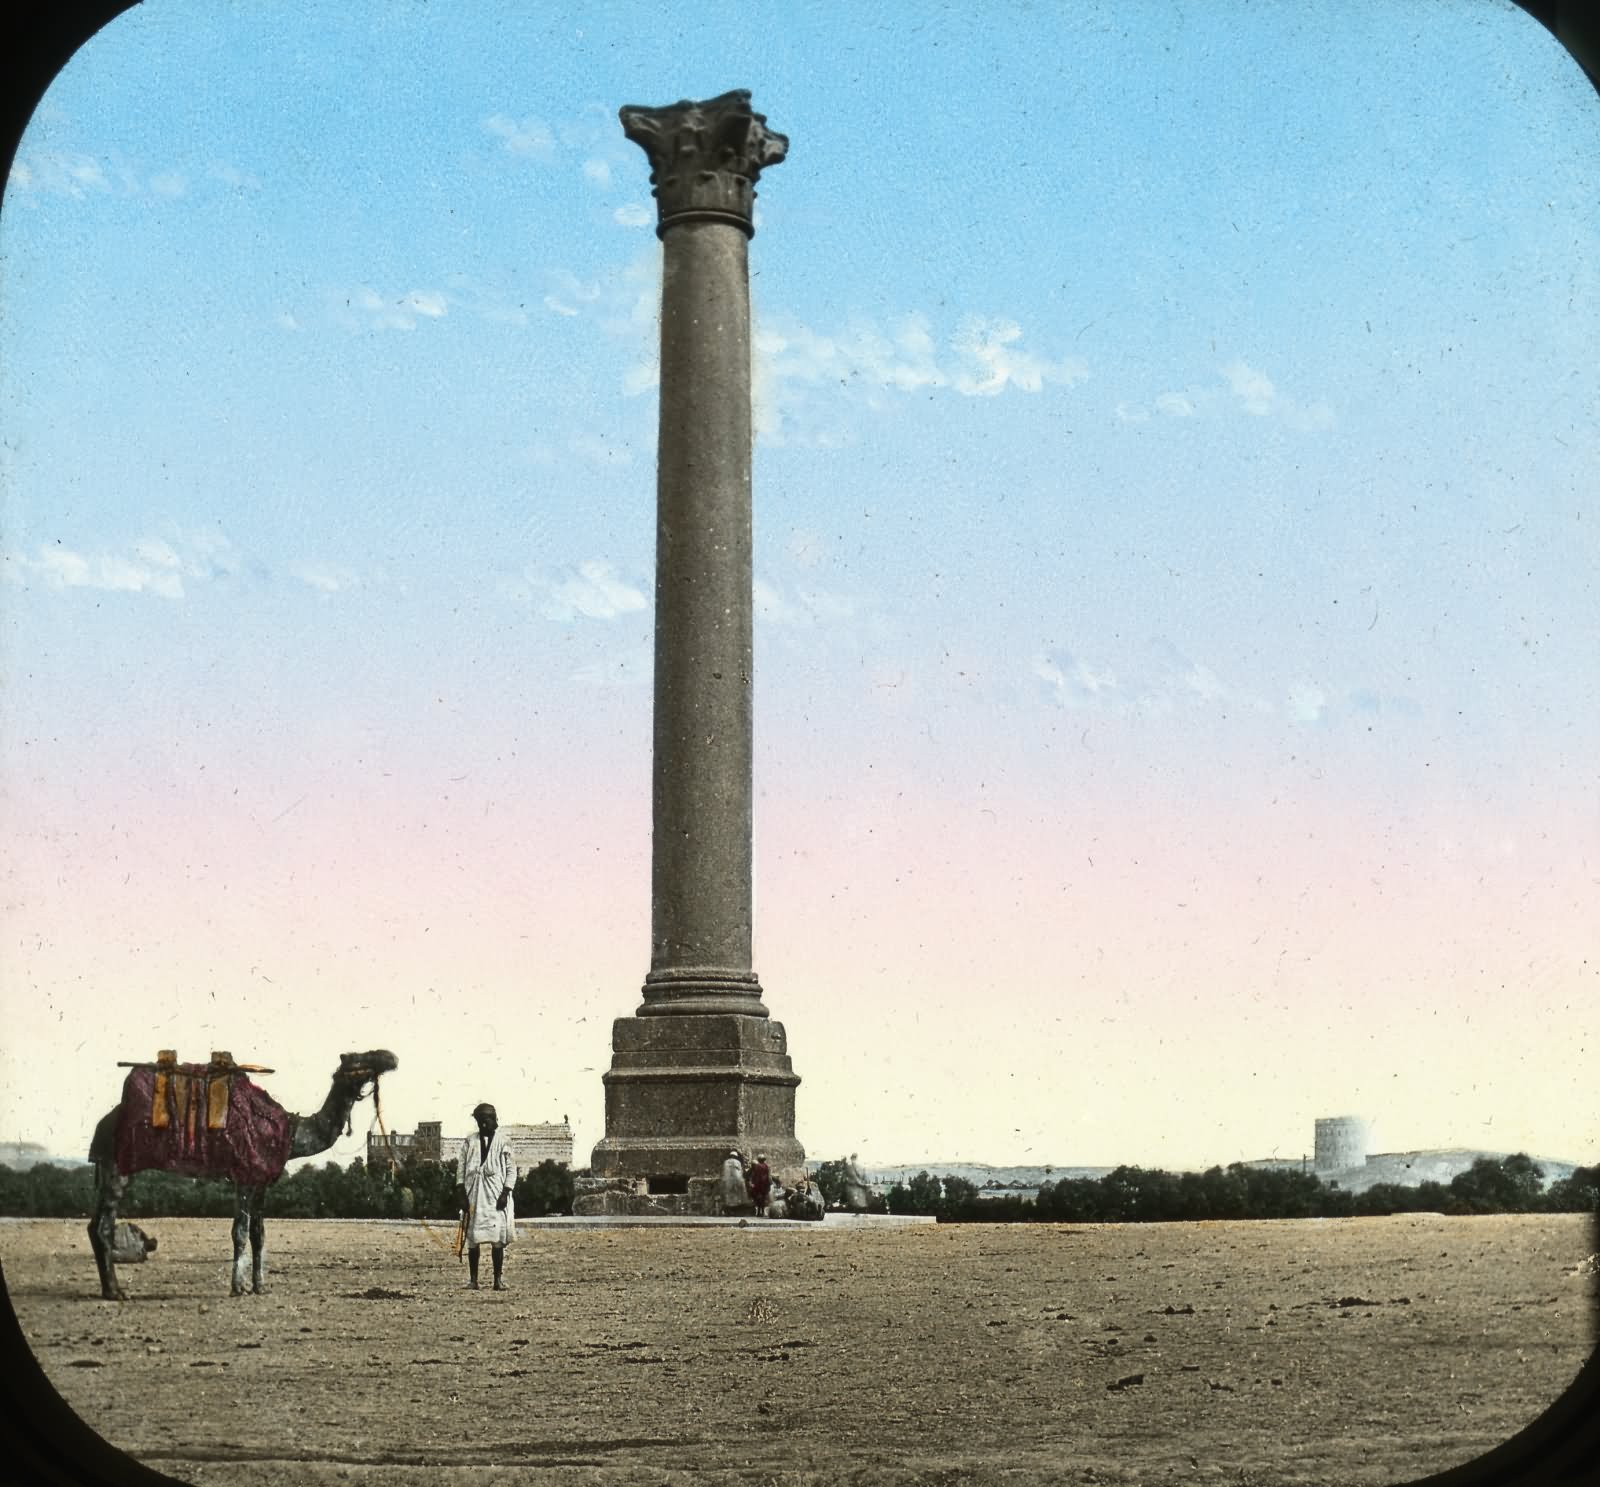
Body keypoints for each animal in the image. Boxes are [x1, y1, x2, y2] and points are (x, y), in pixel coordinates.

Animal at [88, 1043, 400, 1299]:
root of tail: (102, 1125)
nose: (390, 1056)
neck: (290, 1133)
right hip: (117, 1166)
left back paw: (109, 1289)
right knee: (104, 1225)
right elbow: (239, 1231)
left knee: (95, 1225)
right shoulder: (245, 1176)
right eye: (360, 1056)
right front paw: (238, 1287)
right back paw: (116, 1292)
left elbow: (258, 1234)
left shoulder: (262, 1180)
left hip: (107, 1166)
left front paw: (260, 1286)